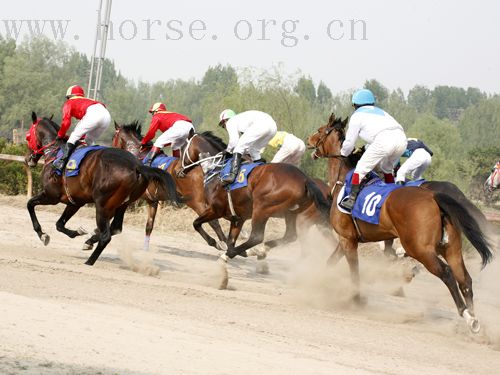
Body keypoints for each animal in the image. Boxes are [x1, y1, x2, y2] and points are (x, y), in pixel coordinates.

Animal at [24, 113, 180, 266]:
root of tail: (137, 166)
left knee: (106, 236)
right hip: (122, 204)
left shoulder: (52, 196)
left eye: (27, 136)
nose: (27, 159)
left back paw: (89, 261)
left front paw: (42, 235)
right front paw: (78, 232)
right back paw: (90, 243)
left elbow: (30, 204)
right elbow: (59, 224)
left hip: (102, 205)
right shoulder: (75, 201)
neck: (55, 153)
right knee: (115, 228)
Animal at [112, 123, 227, 251]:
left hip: (196, 202)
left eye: (113, 137)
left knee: (213, 222)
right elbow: (149, 226)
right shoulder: (152, 200)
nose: (112, 148)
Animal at [304, 113, 492, 334]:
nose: (308, 140)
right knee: (465, 279)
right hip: (451, 248)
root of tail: (435, 197)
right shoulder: (347, 239)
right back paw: (473, 319)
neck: (344, 180)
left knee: (446, 274)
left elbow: (354, 271)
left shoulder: (348, 239)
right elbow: (331, 262)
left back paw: (466, 314)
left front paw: (356, 298)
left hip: (421, 249)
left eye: (319, 130)